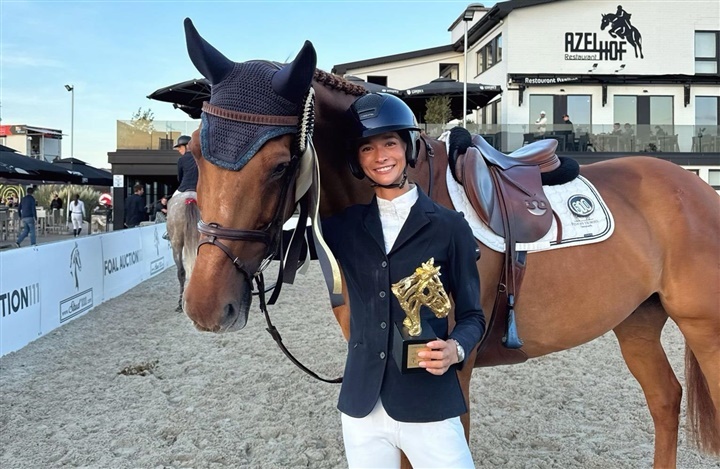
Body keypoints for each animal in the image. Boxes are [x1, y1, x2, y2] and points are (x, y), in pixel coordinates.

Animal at [178, 19, 720, 469]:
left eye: (279, 166)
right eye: (198, 155)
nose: (205, 306)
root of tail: (697, 188)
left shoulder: (450, 371)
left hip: (703, 327)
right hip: (637, 320)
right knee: (665, 399)